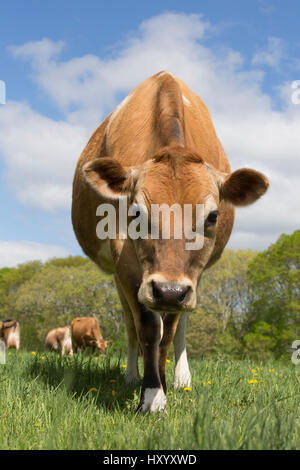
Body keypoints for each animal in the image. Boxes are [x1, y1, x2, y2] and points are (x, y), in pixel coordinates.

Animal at [71, 70, 270, 412]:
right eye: (136, 212)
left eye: (213, 216)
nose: (169, 290)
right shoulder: (126, 259)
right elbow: (148, 327)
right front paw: (152, 396)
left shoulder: (189, 277)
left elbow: (170, 330)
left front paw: (164, 385)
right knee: (130, 323)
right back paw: (131, 376)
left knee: (179, 326)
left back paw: (180, 378)